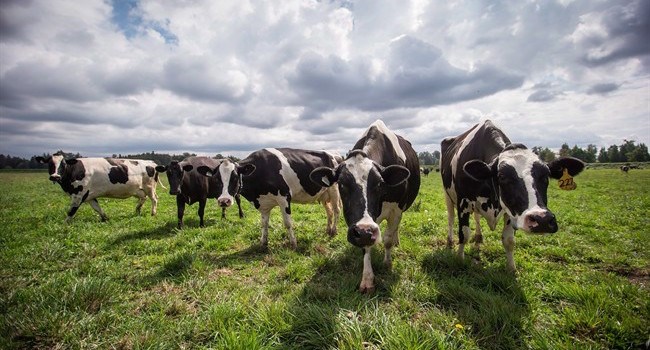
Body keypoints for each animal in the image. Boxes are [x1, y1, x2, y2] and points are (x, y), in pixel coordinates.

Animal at [196, 148, 340, 249]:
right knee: (329, 211)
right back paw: (328, 230)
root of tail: (334, 155)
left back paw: (333, 231)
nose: (224, 201)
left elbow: (288, 223)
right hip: (323, 194)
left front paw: (293, 244)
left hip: (334, 190)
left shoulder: (284, 197)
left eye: (235, 177)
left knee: (336, 210)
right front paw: (263, 243)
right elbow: (264, 224)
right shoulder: (263, 204)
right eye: (216, 179)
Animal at [310, 120, 420, 292]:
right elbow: (366, 247)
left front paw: (387, 263)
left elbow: (387, 239)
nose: (363, 231)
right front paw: (367, 280)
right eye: (341, 184)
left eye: (380, 183)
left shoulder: (396, 210)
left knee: (394, 230)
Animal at [440, 119, 584, 270]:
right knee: (451, 218)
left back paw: (479, 238)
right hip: (447, 195)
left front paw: (511, 268)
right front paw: (459, 259)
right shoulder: (464, 202)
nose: (542, 220)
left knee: (477, 217)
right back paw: (450, 241)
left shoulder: (511, 211)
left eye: (546, 176)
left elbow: (509, 240)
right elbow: (464, 234)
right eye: (502, 176)